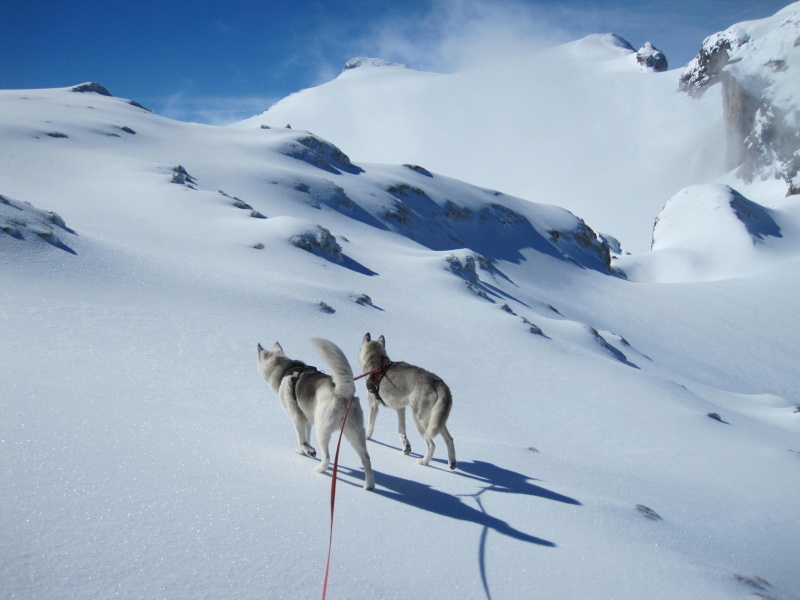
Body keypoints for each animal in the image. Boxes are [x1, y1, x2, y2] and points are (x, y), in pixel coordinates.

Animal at [258, 338, 376, 492]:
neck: (286, 370)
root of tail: (343, 392)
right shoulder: (307, 420)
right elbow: (306, 437)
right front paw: (305, 451)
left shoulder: (298, 419)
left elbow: (302, 440)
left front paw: (307, 450)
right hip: (355, 433)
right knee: (366, 458)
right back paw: (369, 485)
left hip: (322, 430)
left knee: (327, 457)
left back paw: (320, 469)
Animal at [358, 332, 454, 468]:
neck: (377, 364)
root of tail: (438, 383)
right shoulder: (400, 409)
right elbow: (401, 431)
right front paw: (406, 447)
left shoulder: (373, 405)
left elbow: (370, 426)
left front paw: (367, 437)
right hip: (437, 421)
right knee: (450, 440)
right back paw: (452, 463)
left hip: (419, 420)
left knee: (431, 445)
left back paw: (424, 462)